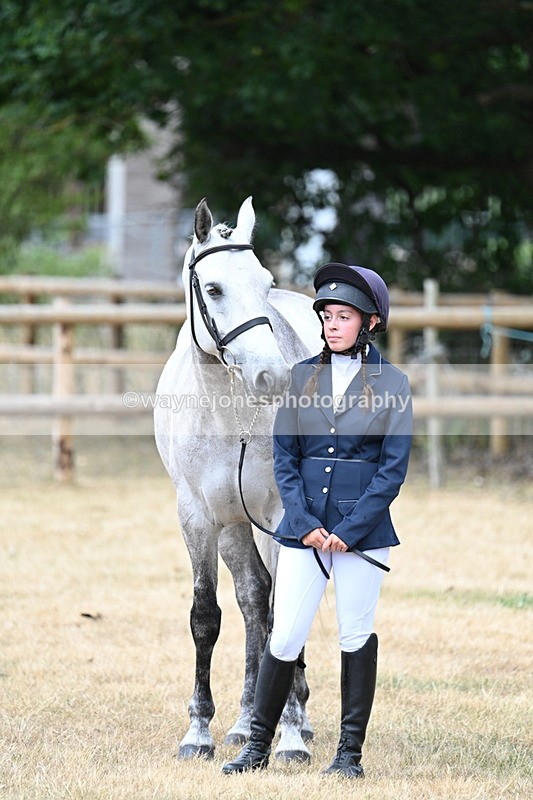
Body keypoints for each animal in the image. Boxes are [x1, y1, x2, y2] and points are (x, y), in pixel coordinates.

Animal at [154, 196, 322, 761]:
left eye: (265, 283)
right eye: (213, 288)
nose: (272, 377)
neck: (230, 417)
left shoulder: (282, 517)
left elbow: (284, 614)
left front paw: (289, 736)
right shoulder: (199, 517)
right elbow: (207, 616)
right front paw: (198, 732)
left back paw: (296, 722)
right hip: (234, 529)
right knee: (252, 603)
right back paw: (246, 721)